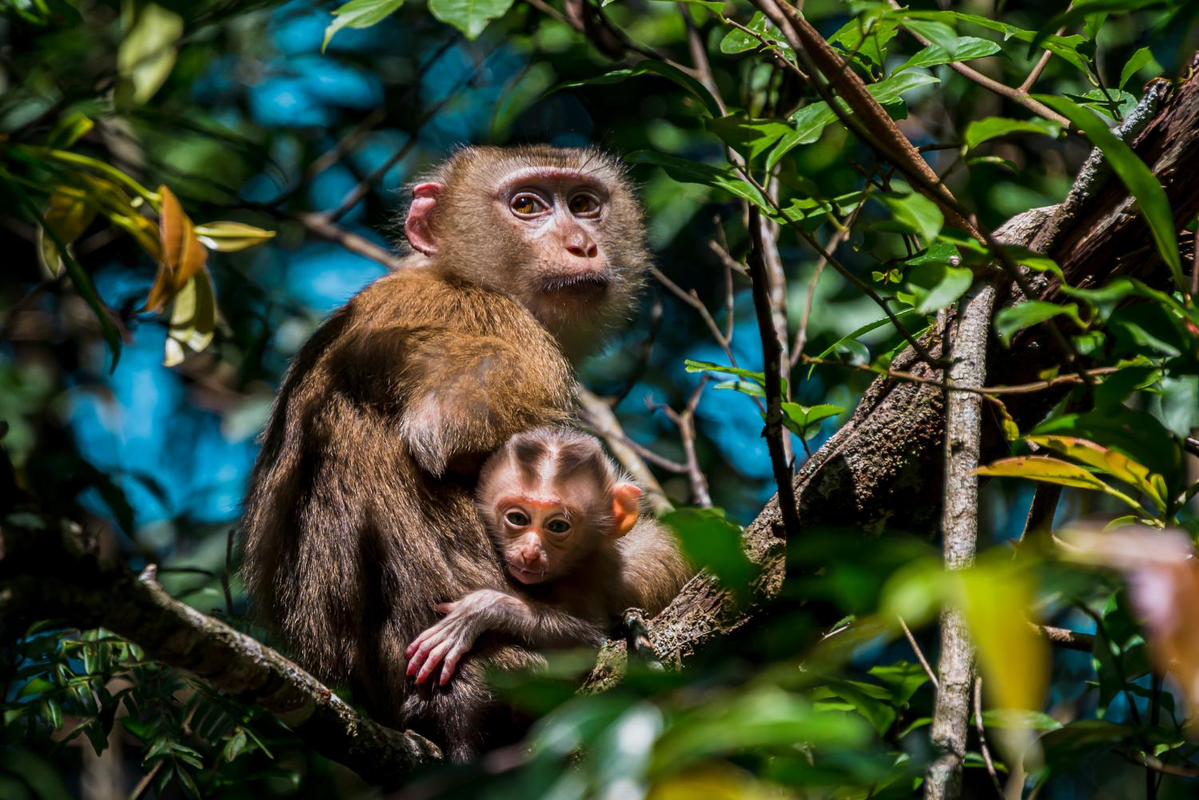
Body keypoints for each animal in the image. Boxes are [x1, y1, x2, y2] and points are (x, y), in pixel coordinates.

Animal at [242, 145, 652, 762]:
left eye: (584, 204)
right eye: (526, 205)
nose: (582, 244)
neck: (449, 271)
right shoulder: (504, 329)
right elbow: (444, 436)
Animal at [405, 429, 690, 686]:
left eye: (558, 526)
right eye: (517, 518)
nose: (530, 552)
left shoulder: (594, 573)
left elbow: (595, 642)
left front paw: (482, 610)